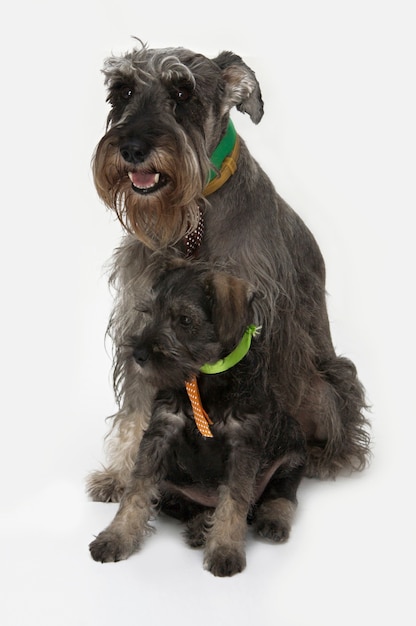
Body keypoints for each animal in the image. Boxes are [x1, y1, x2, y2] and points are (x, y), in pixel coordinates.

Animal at [87, 44, 370, 516]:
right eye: (122, 90)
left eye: (183, 91)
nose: (131, 148)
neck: (193, 214)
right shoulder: (143, 319)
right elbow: (138, 404)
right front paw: (123, 475)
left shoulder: (260, 328)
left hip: (326, 383)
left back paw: (325, 457)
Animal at [90, 260, 306, 576]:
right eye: (149, 313)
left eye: (185, 319)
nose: (138, 355)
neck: (204, 378)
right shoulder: (160, 431)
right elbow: (136, 489)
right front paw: (116, 537)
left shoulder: (243, 444)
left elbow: (234, 500)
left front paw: (225, 549)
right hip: (173, 483)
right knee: (187, 506)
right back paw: (199, 527)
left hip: (291, 454)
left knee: (281, 494)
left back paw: (272, 520)